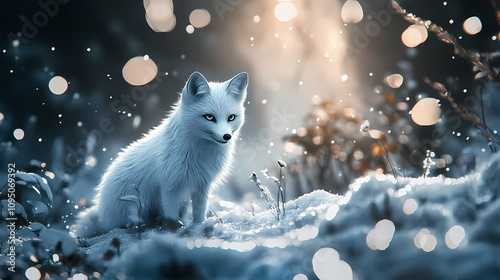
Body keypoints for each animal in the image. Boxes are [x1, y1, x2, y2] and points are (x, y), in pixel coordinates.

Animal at [74, 71, 248, 236]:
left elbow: (199, 215)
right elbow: (172, 218)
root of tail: (101, 211)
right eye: (209, 117)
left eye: (231, 117)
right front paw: (175, 233)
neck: (200, 154)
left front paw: (199, 229)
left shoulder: (202, 185)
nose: (227, 136)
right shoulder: (169, 187)